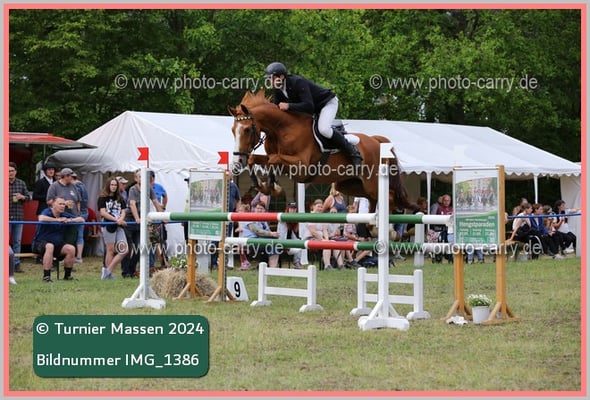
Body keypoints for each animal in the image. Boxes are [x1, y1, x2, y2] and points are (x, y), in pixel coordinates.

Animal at [228, 90, 410, 213]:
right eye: (232, 130)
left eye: (247, 130)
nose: (238, 162)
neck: (280, 130)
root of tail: (376, 141)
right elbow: (256, 159)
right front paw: (266, 187)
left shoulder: (301, 166)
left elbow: (274, 159)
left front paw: (271, 187)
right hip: (347, 184)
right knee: (371, 198)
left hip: (372, 182)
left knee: (389, 197)